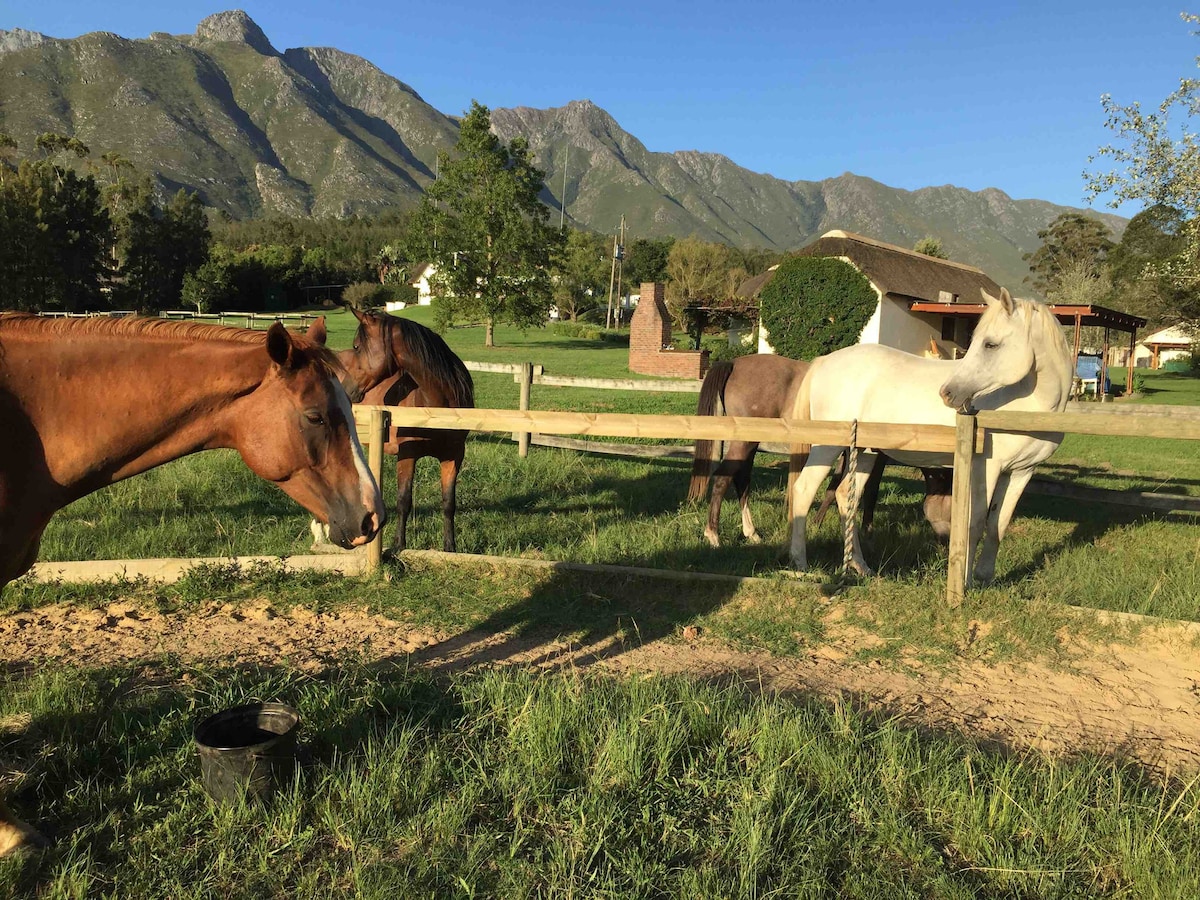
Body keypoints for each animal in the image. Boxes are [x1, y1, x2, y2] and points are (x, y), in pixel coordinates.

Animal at [336, 307, 475, 554]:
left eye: (357, 346)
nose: (347, 390)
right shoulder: (407, 455)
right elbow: (404, 501)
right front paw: (398, 545)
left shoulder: (453, 456)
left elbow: (449, 503)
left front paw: (450, 547)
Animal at [691, 355, 950, 547]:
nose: (945, 540)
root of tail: (734, 363)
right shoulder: (876, 457)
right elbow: (868, 492)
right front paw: (866, 532)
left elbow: (832, 488)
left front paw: (816, 522)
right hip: (744, 443)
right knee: (723, 479)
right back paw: (714, 535)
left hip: (749, 444)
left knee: (741, 482)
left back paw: (751, 532)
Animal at [792, 289, 1075, 585]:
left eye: (990, 344)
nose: (948, 393)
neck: (1029, 403)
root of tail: (824, 361)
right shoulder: (986, 468)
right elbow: (974, 524)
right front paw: (966, 582)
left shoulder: (1021, 471)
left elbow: (998, 524)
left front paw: (985, 577)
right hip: (827, 446)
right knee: (804, 490)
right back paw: (801, 564)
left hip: (865, 451)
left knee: (847, 496)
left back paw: (860, 566)